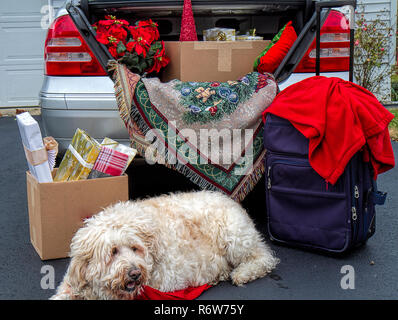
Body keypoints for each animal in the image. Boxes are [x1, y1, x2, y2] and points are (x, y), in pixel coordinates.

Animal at [51, 190, 278, 300]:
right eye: (113, 252)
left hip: (235, 237)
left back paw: (243, 273)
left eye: (135, 248)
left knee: (264, 258)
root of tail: (231, 201)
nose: (135, 273)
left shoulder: (164, 282)